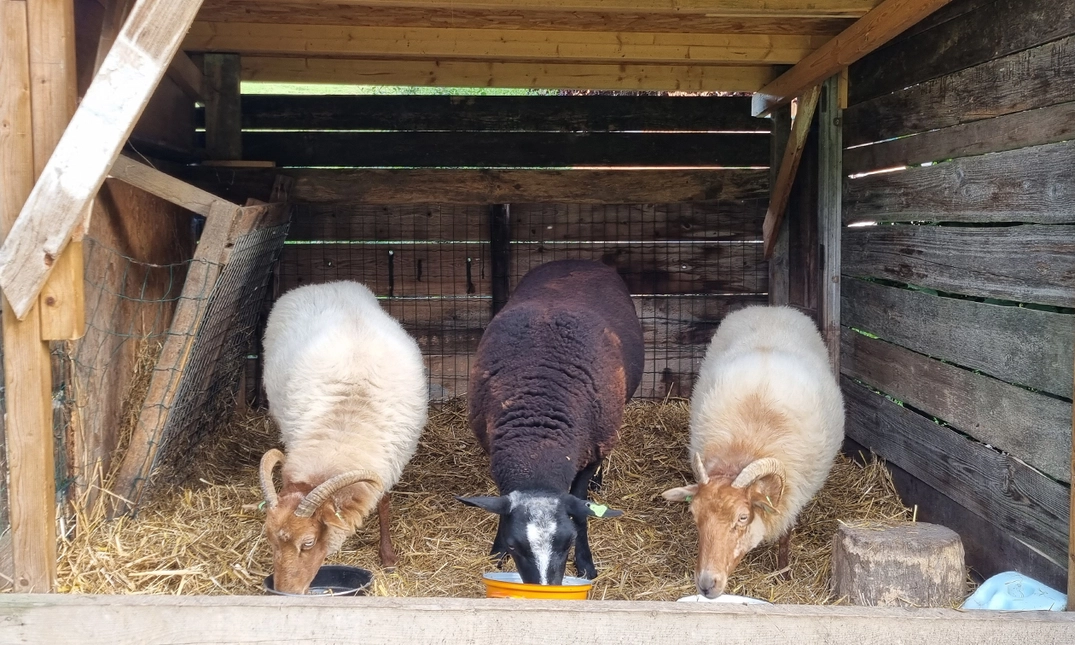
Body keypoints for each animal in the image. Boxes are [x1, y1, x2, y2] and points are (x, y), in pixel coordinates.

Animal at [258, 280, 428, 594]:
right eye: (270, 539)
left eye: (308, 543)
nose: (285, 593)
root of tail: (325, 284)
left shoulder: (388, 463)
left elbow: (384, 504)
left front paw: (388, 558)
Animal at [458, 259, 644, 585]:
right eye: (513, 545)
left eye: (569, 542)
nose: (545, 589)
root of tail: (576, 260)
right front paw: (496, 554)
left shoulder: (591, 451)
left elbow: (580, 509)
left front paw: (586, 564)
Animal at [661, 305, 844, 598]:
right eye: (694, 514)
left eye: (743, 517)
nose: (706, 585)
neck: (744, 452)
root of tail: (771, 308)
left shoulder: (792, 498)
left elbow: (785, 535)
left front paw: (783, 574)